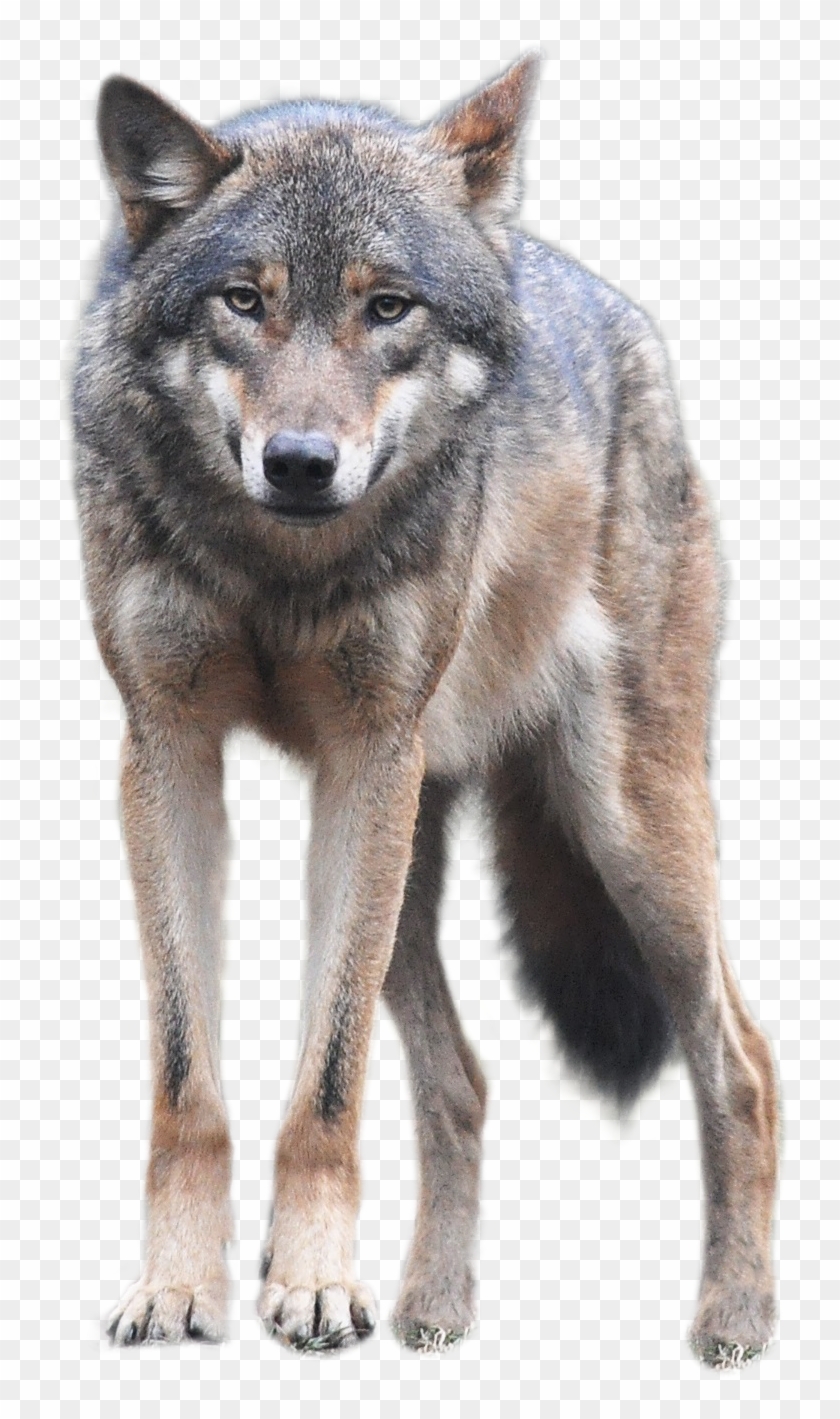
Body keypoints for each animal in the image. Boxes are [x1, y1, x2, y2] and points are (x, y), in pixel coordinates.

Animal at [73, 57, 778, 1364]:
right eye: (244, 301)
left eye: (389, 308)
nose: (300, 462)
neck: (281, 571)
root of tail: (616, 314)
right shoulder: (167, 751)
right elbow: (190, 1080)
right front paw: (185, 1289)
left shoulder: (365, 760)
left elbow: (326, 1082)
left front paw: (308, 1287)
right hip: (410, 866)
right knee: (462, 1085)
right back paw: (433, 1307)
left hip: (621, 833)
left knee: (743, 1062)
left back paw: (737, 1316)